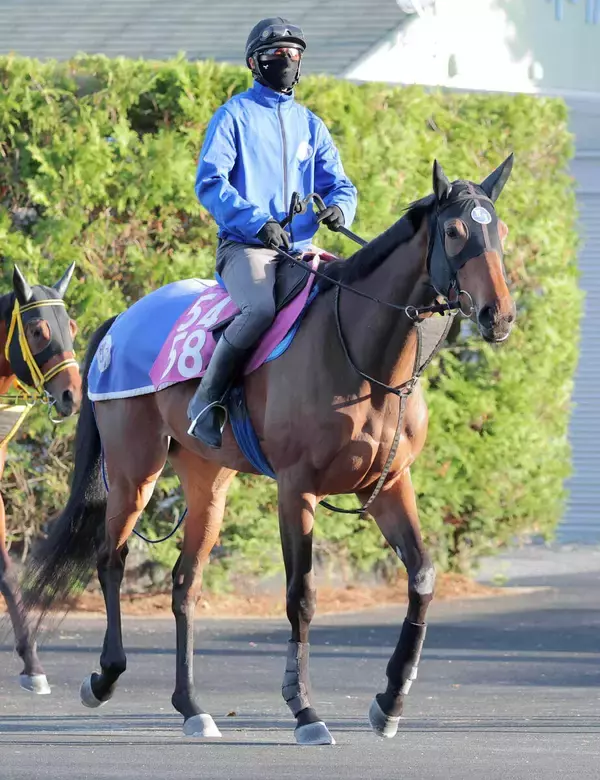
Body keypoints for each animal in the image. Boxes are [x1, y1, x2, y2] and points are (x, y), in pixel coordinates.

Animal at [24, 157, 516, 742]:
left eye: (499, 231)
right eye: (455, 231)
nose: (499, 315)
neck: (361, 356)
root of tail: (120, 322)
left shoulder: (390, 484)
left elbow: (421, 577)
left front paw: (390, 700)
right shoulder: (296, 489)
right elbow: (300, 596)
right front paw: (304, 709)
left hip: (208, 484)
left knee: (184, 583)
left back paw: (192, 706)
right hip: (132, 473)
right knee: (111, 560)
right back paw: (104, 678)